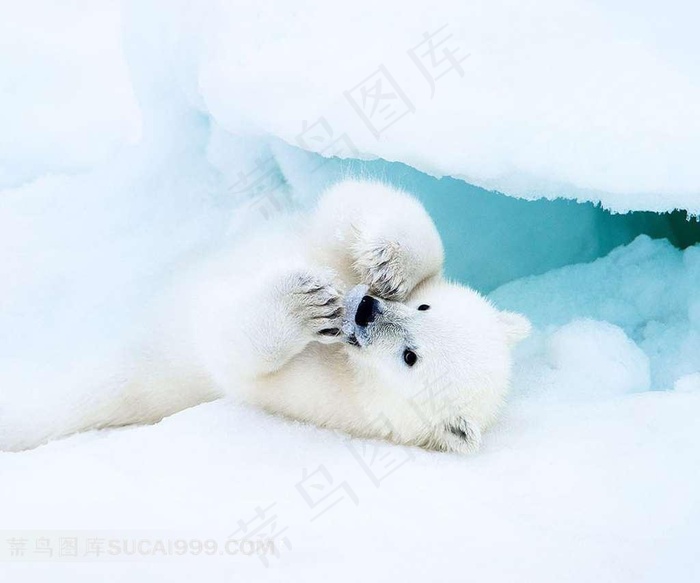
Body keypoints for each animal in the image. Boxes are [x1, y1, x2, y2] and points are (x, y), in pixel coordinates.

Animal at [11, 180, 531, 453]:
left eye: (410, 357)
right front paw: (387, 264)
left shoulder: (324, 397)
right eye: (424, 306)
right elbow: (354, 205)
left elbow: (234, 355)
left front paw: (303, 303)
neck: (352, 365)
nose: (365, 309)